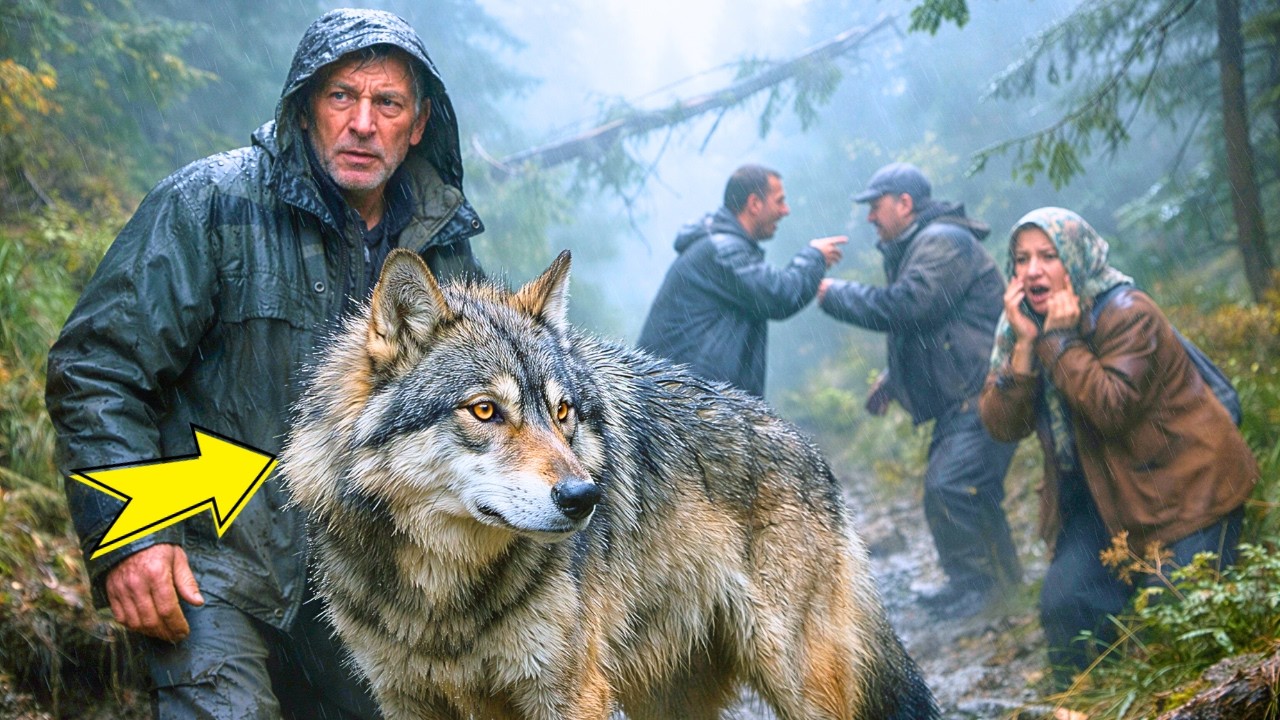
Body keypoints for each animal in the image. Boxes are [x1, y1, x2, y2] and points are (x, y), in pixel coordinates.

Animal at [281, 248, 939, 720]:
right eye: (486, 410)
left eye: (563, 412)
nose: (584, 498)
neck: (443, 598)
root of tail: (809, 447)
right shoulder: (408, 700)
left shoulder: (569, 693)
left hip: (797, 678)